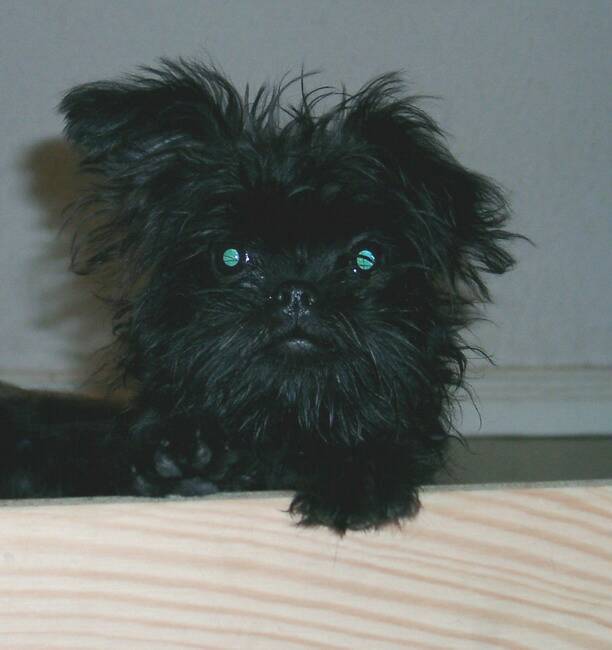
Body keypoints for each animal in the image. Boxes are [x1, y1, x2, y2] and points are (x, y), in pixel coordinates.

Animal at [0, 58, 518, 532]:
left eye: (365, 259)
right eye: (231, 257)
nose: (297, 293)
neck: (283, 425)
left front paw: (356, 477)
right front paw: (184, 460)